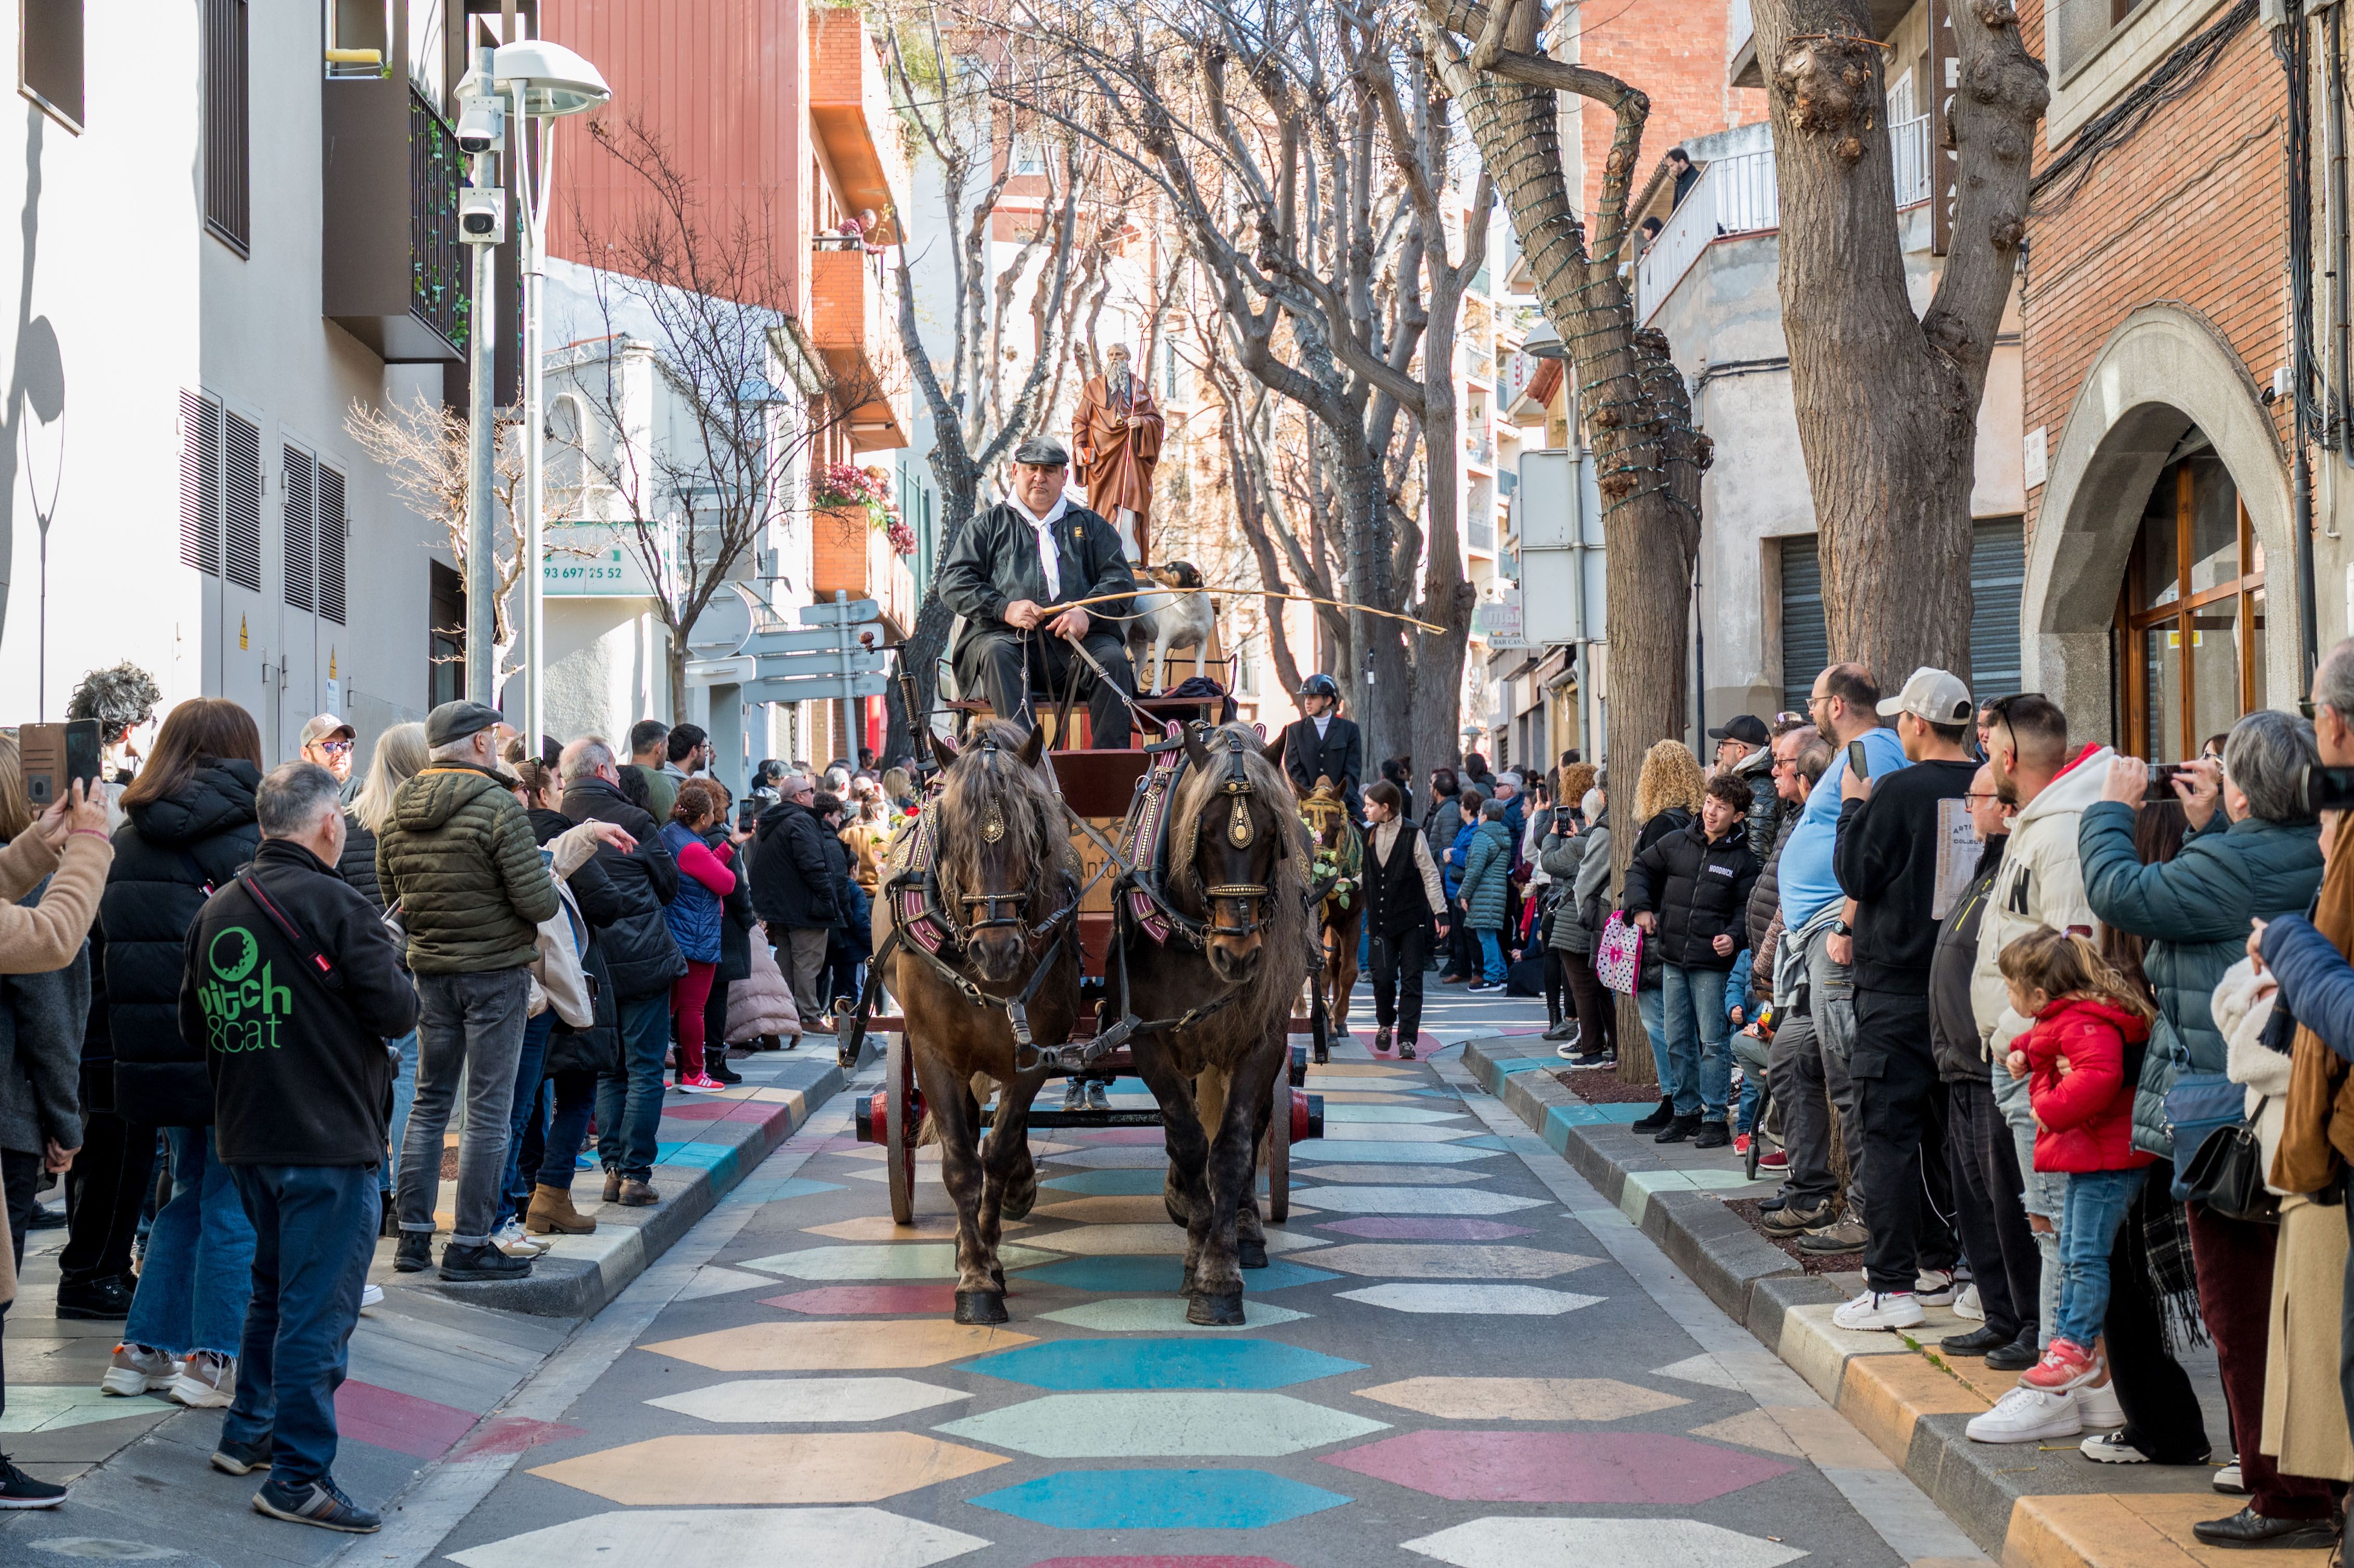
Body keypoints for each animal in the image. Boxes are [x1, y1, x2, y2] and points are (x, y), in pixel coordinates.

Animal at [875, 715, 1082, 1318]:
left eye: (1032, 830)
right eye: (950, 833)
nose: (997, 950)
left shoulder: (1035, 1055)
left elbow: (1000, 1151)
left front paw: (994, 1244)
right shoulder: (933, 1053)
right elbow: (962, 1164)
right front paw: (974, 1278)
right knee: (964, 1129)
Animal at [1116, 720, 1309, 1318]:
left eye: (1272, 835)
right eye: (1204, 835)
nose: (1238, 955)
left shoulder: (1261, 1041)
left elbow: (1231, 1147)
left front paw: (1219, 1275)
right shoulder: (1148, 1041)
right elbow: (1186, 1137)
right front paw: (1194, 1239)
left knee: (1253, 1130)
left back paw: (1246, 1227)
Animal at [1299, 772, 1375, 1050]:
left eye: (1337, 828)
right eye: (1305, 825)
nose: (1321, 873)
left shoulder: (1352, 919)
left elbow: (1348, 971)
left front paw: (1339, 1020)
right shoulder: (1318, 925)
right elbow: (1320, 972)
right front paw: (1328, 1025)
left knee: (1336, 964)